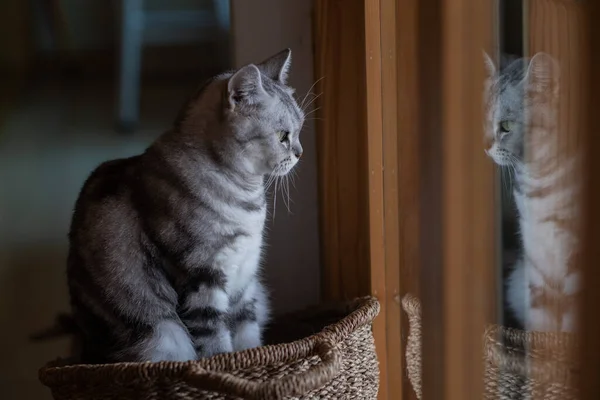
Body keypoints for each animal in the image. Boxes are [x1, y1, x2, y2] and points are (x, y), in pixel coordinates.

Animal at [67, 48, 304, 364]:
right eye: (282, 137)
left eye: (300, 129)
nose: (300, 152)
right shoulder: (201, 279)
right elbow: (215, 344)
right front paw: (227, 366)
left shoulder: (245, 280)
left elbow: (247, 334)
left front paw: (256, 359)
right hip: (162, 333)